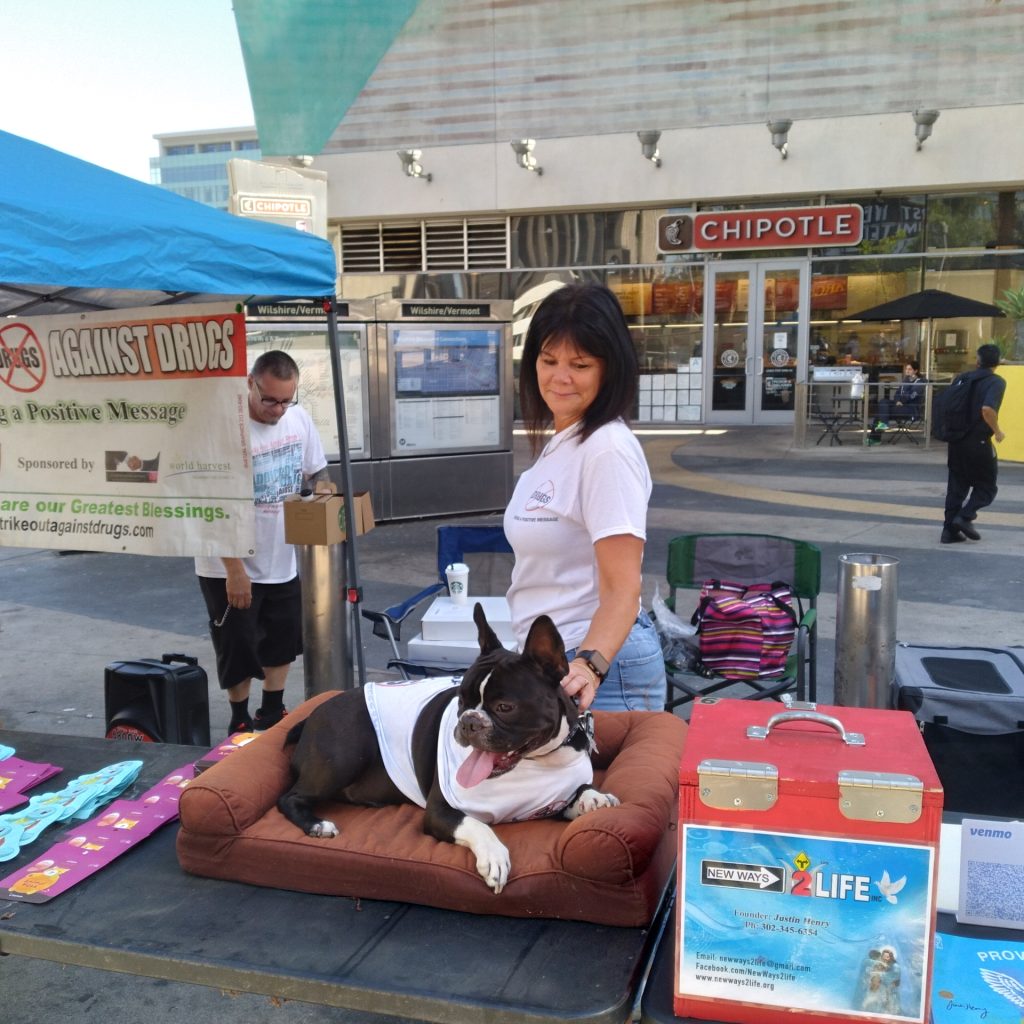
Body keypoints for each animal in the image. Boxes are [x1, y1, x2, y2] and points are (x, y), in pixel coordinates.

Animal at [278, 603, 619, 893]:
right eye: (461, 700)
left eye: (505, 707)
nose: (469, 721)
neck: (539, 760)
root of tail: (312, 713)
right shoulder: (440, 812)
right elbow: (477, 824)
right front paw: (494, 855)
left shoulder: (553, 803)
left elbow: (581, 792)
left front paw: (596, 797)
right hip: (342, 756)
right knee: (289, 797)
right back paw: (317, 824)